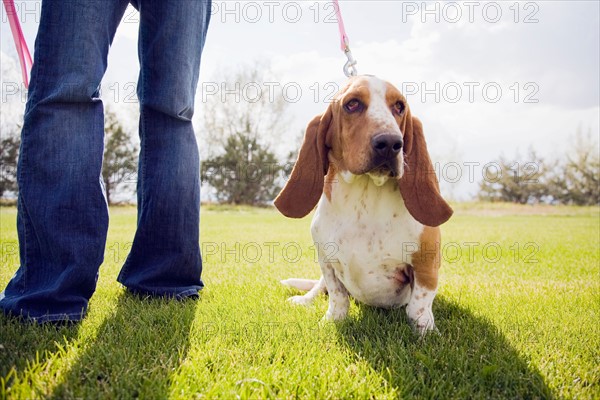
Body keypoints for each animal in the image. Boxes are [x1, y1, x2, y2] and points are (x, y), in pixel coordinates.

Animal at [274, 75, 452, 334]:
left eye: (399, 106)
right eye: (352, 104)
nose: (390, 142)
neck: (364, 199)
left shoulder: (425, 263)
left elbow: (419, 305)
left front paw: (426, 332)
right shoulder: (327, 262)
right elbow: (337, 297)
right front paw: (332, 321)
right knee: (319, 288)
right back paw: (304, 299)